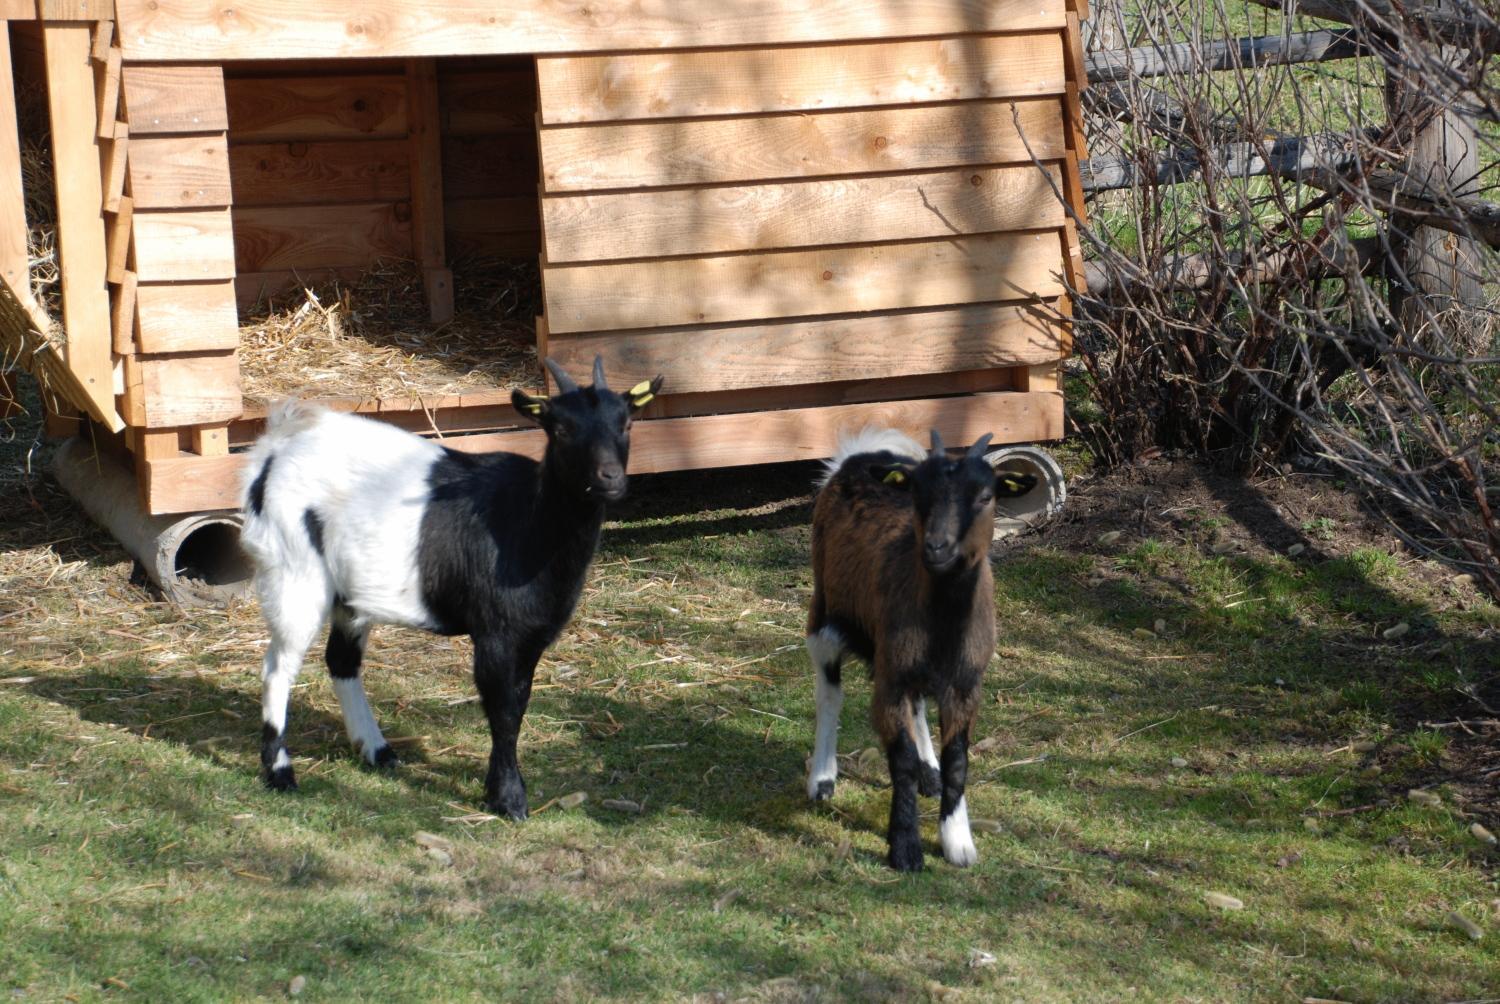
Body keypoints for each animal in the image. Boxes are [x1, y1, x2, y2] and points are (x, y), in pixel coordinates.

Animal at [240, 355, 663, 816]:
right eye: (561, 428)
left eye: (626, 423)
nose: (610, 478)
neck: (527, 521)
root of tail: (277, 445)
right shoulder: (495, 632)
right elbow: (502, 710)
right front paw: (508, 798)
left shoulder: (532, 634)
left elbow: (519, 702)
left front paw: (502, 790)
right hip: (294, 573)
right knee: (278, 667)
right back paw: (280, 772)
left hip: (349, 594)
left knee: (341, 661)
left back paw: (377, 750)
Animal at [810, 426, 1032, 870]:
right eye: (917, 494)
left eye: (986, 496)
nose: (936, 547)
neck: (944, 623)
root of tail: (862, 453)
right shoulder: (890, 682)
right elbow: (902, 760)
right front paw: (905, 848)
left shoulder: (965, 684)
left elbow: (958, 760)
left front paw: (957, 841)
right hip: (825, 610)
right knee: (829, 691)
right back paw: (822, 779)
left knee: (917, 704)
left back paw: (931, 774)